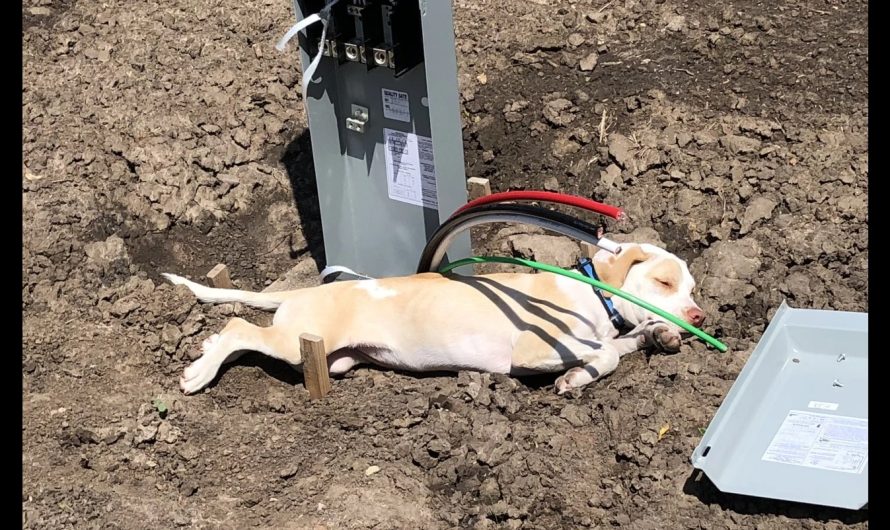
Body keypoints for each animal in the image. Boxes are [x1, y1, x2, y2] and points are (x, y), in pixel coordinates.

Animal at [161, 241, 700, 394]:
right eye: (664, 282)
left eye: (692, 288)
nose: (697, 312)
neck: (592, 293)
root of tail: (303, 292)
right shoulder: (531, 349)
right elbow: (607, 352)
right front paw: (578, 375)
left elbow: (620, 346)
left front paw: (658, 336)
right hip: (298, 341)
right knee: (236, 329)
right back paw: (199, 372)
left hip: (330, 358)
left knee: (238, 335)